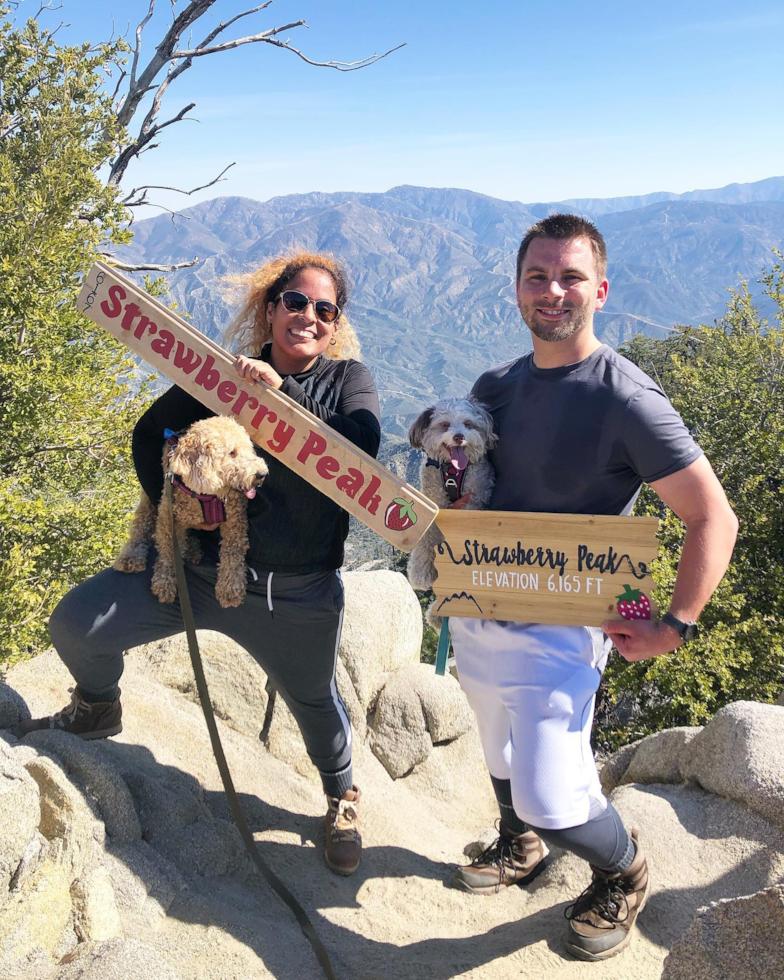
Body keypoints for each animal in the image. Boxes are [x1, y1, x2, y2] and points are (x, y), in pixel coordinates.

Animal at [112, 418, 266, 608]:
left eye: (249, 448)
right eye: (232, 452)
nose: (262, 473)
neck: (206, 496)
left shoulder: (235, 520)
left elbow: (233, 552)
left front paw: (230, 587)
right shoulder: (168, 518)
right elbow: (168, 551)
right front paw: (165, 582)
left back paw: (192, 549)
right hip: (149, 502)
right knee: (141, 524)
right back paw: (131, 556)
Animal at [404, 396, 496, 596]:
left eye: (468, 423)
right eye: (444, 424)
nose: (459, 437)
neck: (452, 470)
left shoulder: (475, 499)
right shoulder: (434, 501)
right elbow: (427, 534)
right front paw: (421, 571)